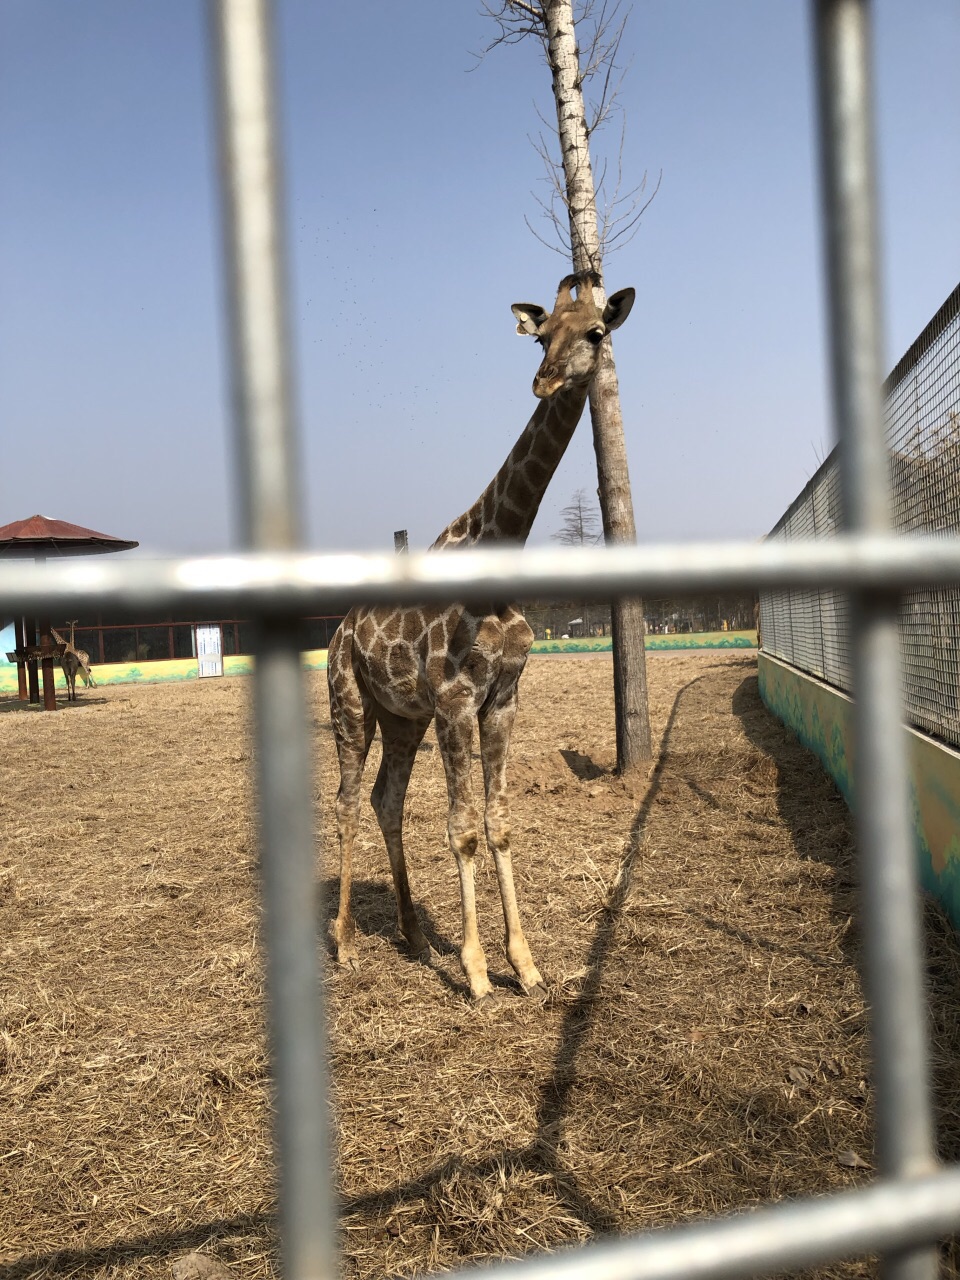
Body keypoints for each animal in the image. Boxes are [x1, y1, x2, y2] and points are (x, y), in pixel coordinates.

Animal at [327, 275, 634, 1003]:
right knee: (347, 802)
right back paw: (345, 943)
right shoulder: (455, 701)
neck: (497, 554)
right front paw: (473, 969)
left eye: (596, 333)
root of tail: (340, 629)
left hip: (400, 718)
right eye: (542, 332)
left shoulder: (502, 700)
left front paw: (524, 964)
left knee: (384, 800)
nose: (545, 380)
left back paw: (412, 935)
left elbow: (499, 824)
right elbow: (463, 829)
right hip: (349, 703)